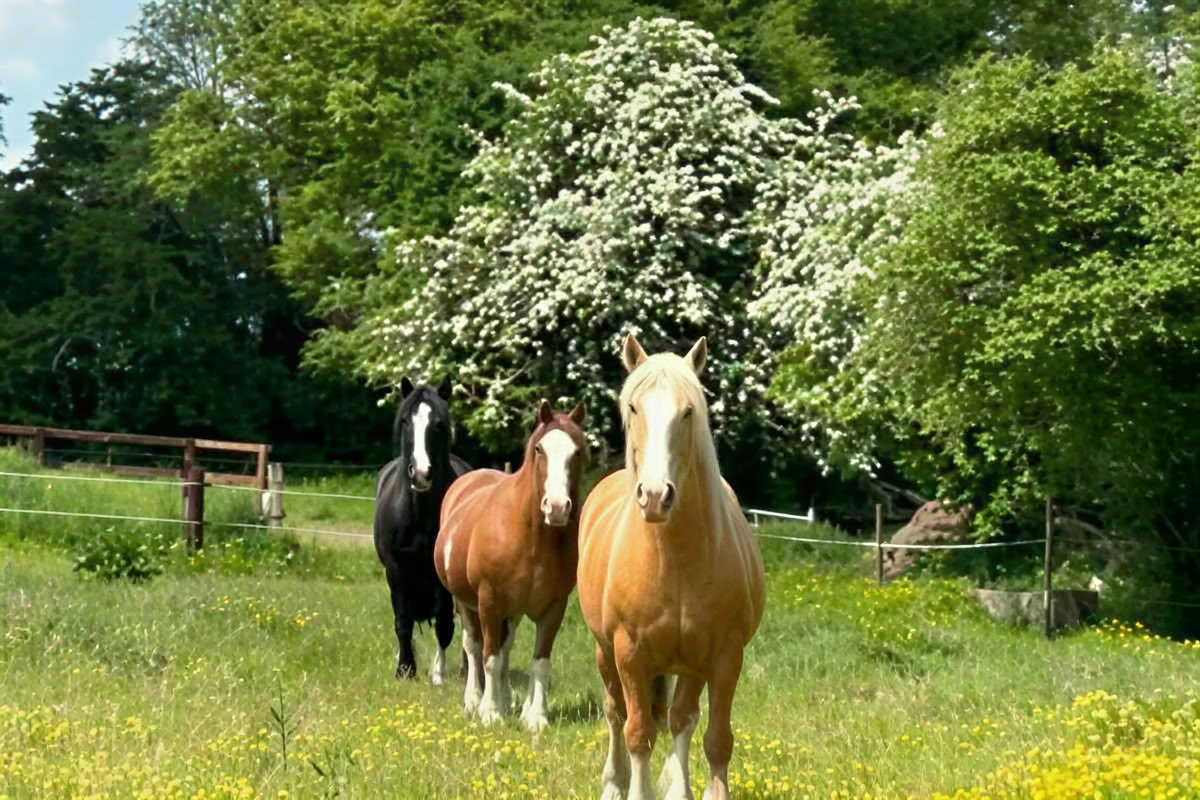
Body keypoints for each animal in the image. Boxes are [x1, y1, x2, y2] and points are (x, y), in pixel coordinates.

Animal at [374, 376, 471, 683]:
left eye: (438, 424)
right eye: (406, 421)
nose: (420, 474)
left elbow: (444, 623)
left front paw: (437, 674)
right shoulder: (395, 570)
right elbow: (402, 620)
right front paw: (405, 669)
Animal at [435, 399, 589, 732]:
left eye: (577, 451)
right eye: (540, 449)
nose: (557, 508)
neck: (532, 538)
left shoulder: (553, 607)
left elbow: (539, 662)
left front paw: (535, 716)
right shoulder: (489, 601)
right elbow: (489, 657)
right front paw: (490, 712)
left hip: (512, 612)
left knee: (505, 649)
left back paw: (507, 701)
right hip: (466, 602)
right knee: (474, 646)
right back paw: (474, 700)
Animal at [577, 335, 765, 800]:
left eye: (688, 411)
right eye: (633, 408)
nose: (655, 496)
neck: (674, 559)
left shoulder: (724, 655)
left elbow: (715, 740)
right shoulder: (629, 654)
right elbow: (638, 733)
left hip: (690, 665)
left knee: (682, 718)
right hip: (606, 654)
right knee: (615, 713)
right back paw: (613, 784)